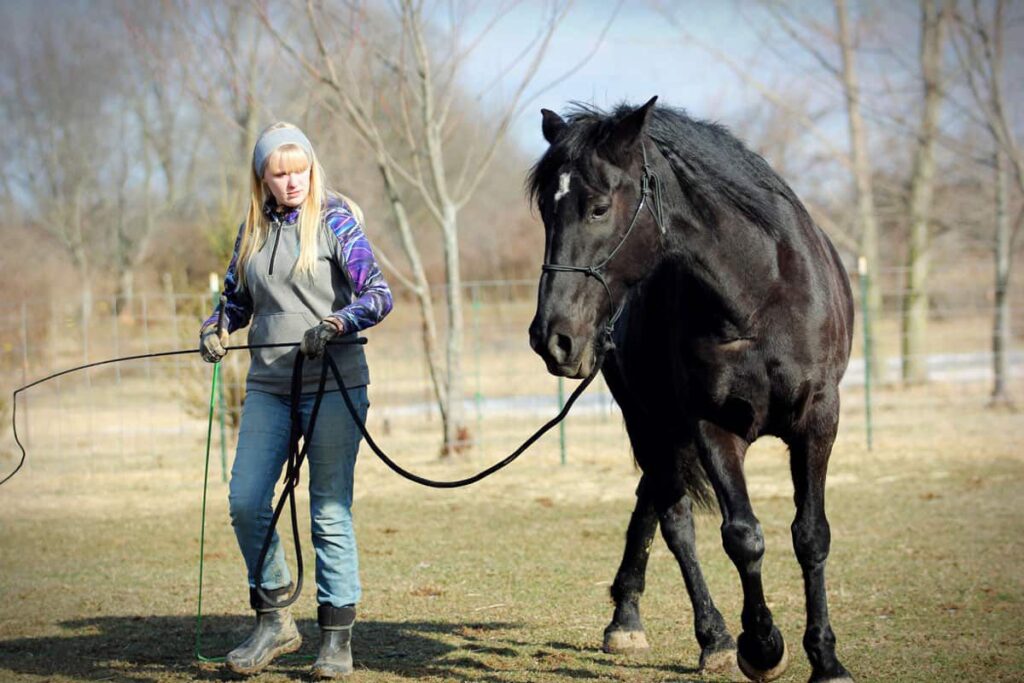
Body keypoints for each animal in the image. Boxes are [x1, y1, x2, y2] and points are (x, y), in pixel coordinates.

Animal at [528, 97, 856, 683]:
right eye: (545, 209)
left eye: (598, 208)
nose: (552, 337)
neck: (761, 295)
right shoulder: (711, 424)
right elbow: (742, 536)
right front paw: (761, 646)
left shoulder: (819, 419)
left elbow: (811, 535)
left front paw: (826, 659)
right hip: (648, 421)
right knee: (675, 520)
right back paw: (704, 634)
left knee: (653, 500)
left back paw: (628, 618)